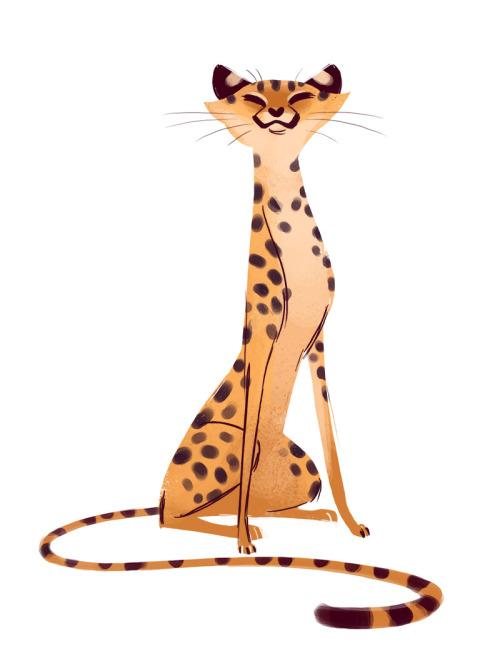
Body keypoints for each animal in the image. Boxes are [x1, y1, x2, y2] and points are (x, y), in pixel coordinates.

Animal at [39, 64, 442, 629]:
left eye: (302, 94)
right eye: (252, 97)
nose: (274, 113)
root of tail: (161, 492)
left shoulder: (319, 346)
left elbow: (334, 446)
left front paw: (350, 521)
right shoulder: (262, 343)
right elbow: (257, 425)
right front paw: (243, 545)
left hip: (296, 467)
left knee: (243, 500)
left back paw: (301, 514)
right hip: (227, 447)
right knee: (174, 519)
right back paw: (232, 528)